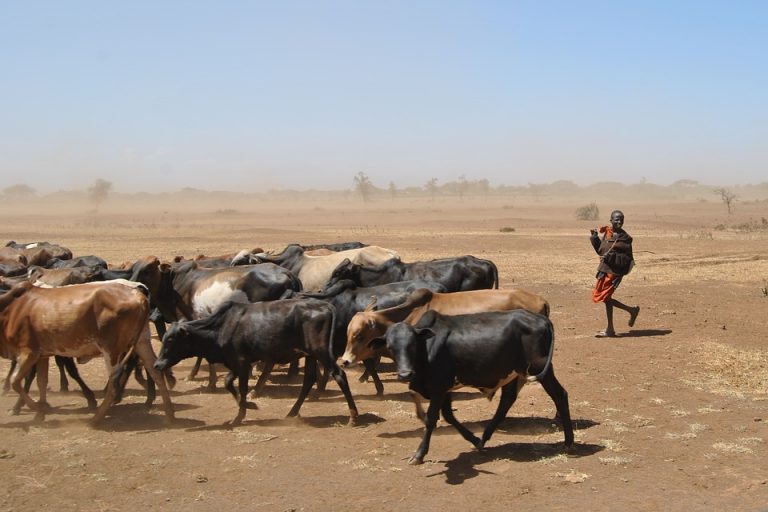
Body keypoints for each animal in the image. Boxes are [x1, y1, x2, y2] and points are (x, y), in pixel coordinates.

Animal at [0, 278, 174, 422]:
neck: (14, 308)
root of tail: (138, 295)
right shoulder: (43, 355)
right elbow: (41, 382)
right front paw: (40, 413)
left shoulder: (29, 352)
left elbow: (17, 381)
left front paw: (35, 408)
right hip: (141, 342)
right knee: (154, 371)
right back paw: (169, 413)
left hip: (111, 350)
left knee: (114, 382)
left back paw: (97, 417)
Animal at [376, 308, 572, 464]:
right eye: (390, 347)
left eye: (413, 345)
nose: (405, 374)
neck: (427, 348)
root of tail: (541, 318)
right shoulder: (445, 389)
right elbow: (449, 416)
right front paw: (473, 438)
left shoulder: (438, 388)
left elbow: (431, 419)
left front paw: (419, 454)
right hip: (513, 374)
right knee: (506, 401)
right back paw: (483, 439)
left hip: (542, 370)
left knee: (560, 395)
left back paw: (569, 442)